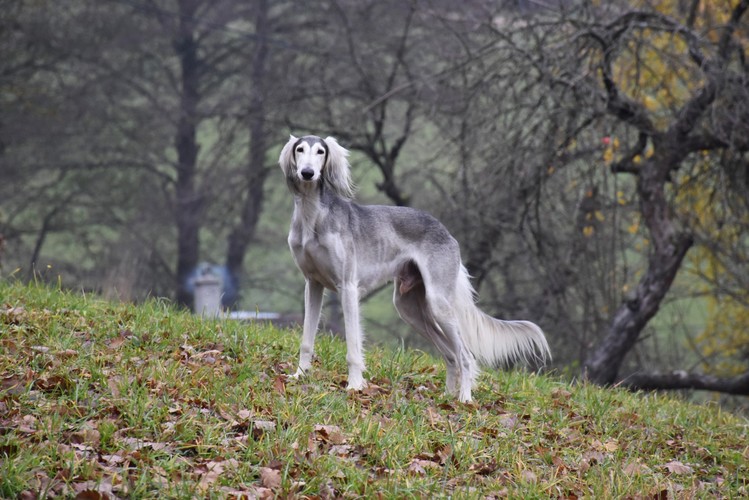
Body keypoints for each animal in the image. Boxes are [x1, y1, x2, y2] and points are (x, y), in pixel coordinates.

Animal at [280, 134, 548, 402]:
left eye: (321, 152)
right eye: (300, 149)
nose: (307, 173)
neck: (313, 216)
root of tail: (446, 232)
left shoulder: (347, 287)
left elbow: (354, 347)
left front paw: (355, 385)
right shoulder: (313, 284)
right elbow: (306, 340)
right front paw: (299, 375)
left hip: (438, 304)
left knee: (465, 356)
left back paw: (464, 399)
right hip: (410, 307)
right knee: (451, 354)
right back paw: (447, 397)